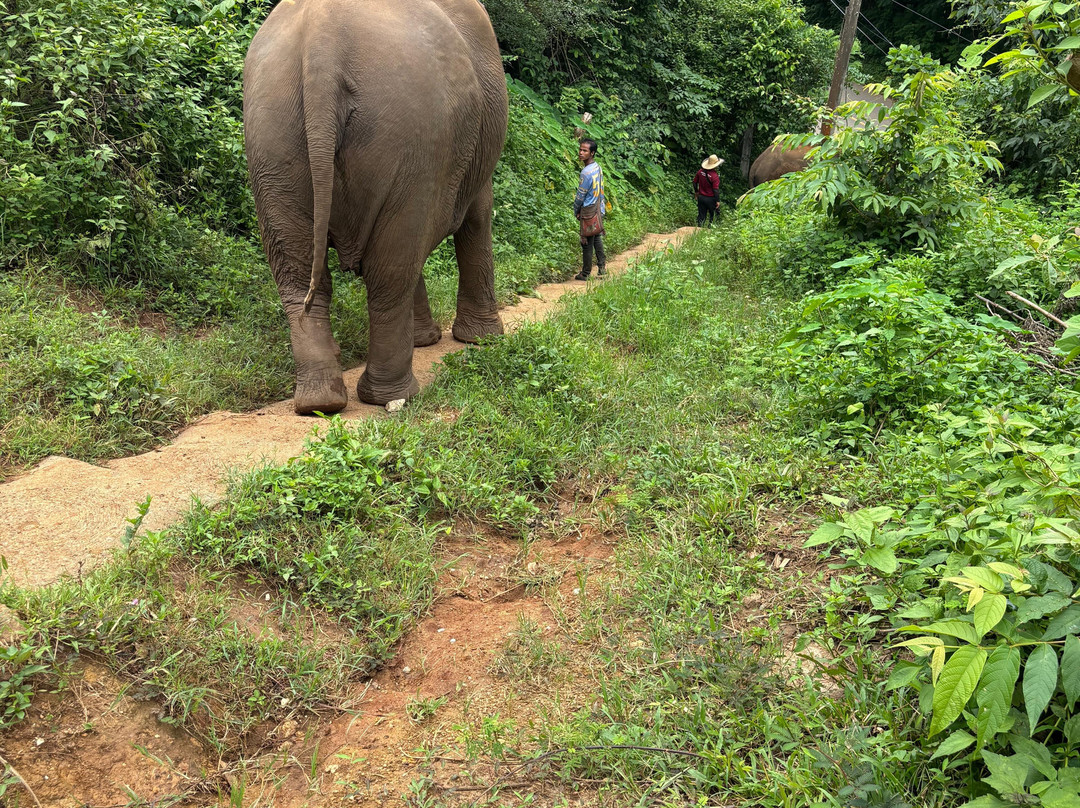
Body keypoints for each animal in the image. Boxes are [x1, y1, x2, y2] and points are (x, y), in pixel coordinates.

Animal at [243, 0, 508, 413]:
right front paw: (481, 341)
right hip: (411, 137)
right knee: (392, 268)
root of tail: (322, 42)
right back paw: (393, 396)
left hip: (272, 138)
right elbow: (477, 216)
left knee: (300, 271)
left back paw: (320, 403)